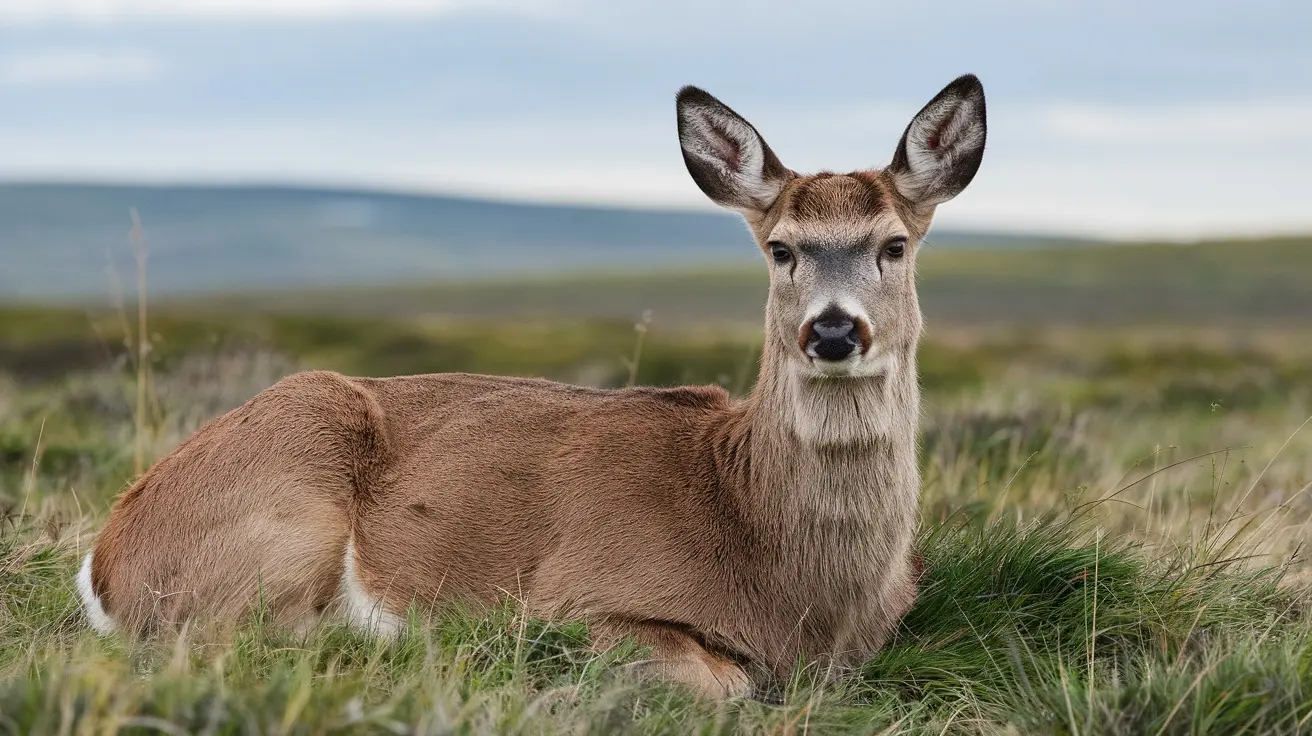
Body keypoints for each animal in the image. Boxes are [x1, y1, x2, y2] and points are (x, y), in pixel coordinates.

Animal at [76, 76, 986, 697]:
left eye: (895, 244)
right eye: (782, 248)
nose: (833, 331)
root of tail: (106, 559)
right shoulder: (574, 598)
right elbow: (721, 681)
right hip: (277, 511)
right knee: (246, 640)